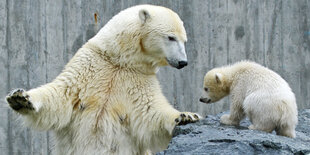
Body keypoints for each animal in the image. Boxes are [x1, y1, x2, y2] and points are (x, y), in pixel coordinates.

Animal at [7, 4, 202, 154]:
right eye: (171, 37)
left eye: (184, 40)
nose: (183, 62)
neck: (119, 60)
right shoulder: (90, 65)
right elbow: (62, 93)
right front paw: (20, 98)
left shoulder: (138, 78)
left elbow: (150, 111)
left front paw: (186, 116)